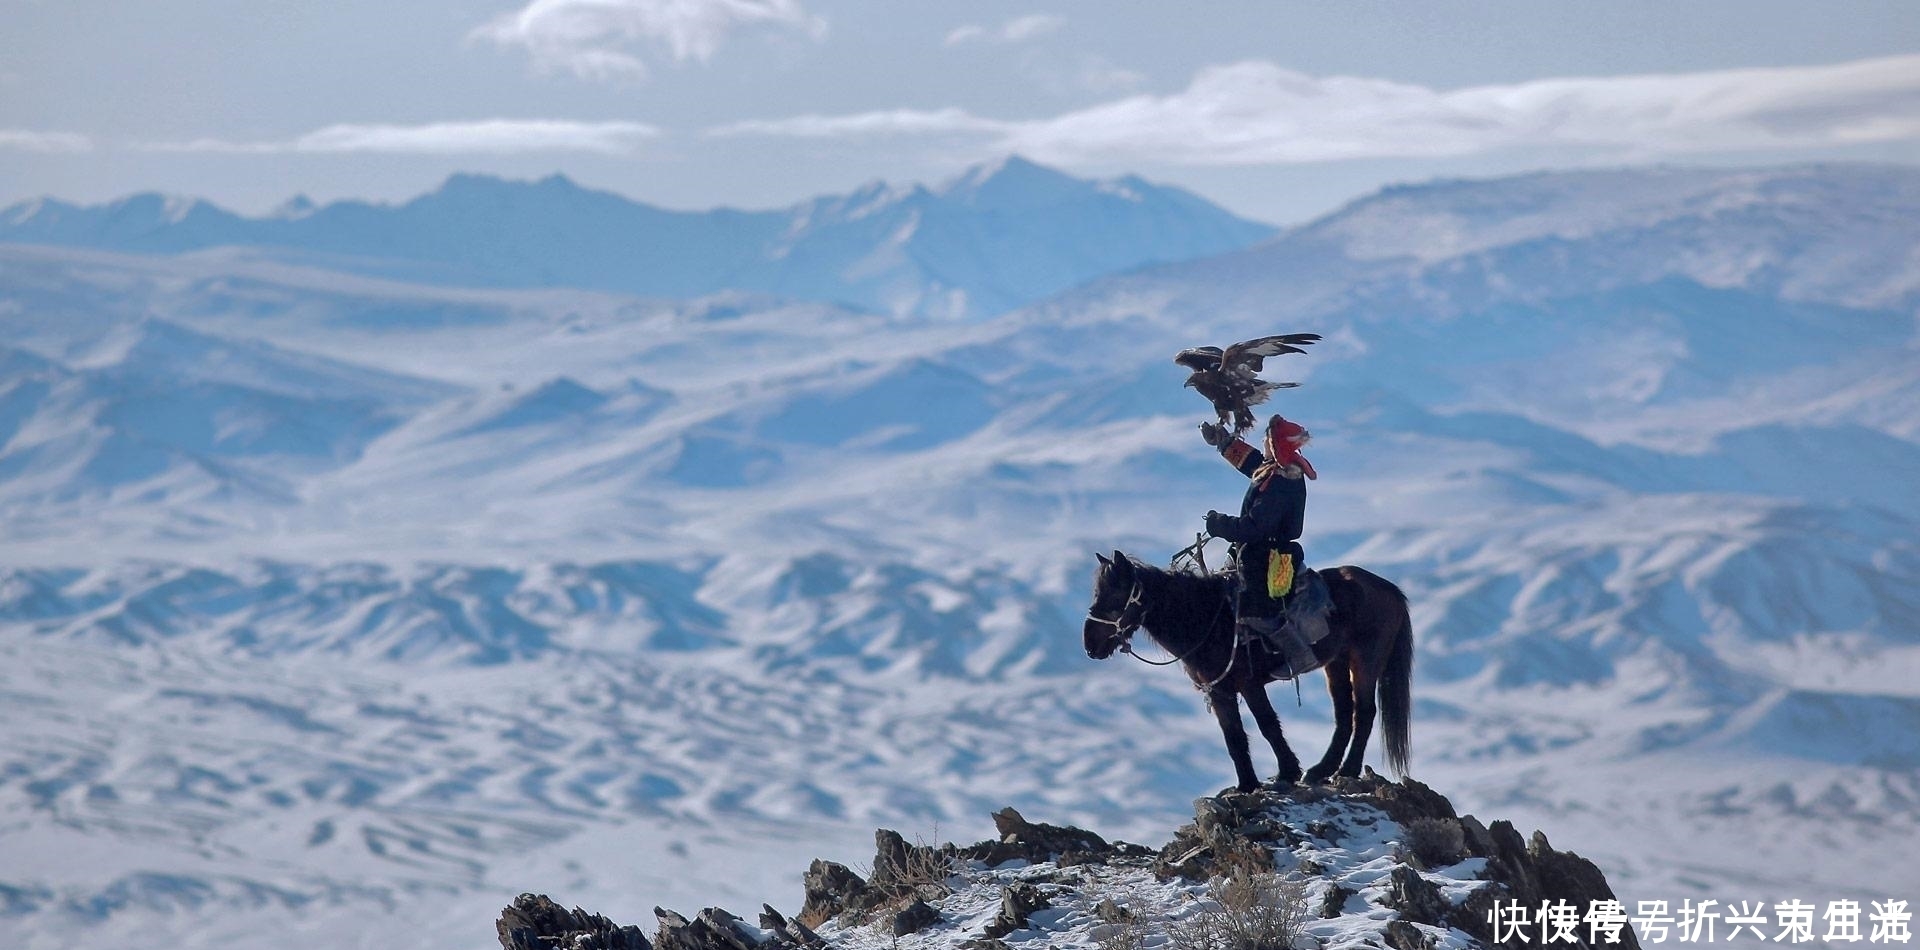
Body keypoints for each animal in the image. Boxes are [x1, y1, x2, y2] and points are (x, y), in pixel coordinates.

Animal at [1082, 548, 1413, 794]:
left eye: (1114, 595)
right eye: (1096, 593)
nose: (1089, 644)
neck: (1206, 618)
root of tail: (1389, 589)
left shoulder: (1249, 684)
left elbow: (1267, 725)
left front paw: (1287, 771)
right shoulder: (1219, 691)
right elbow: (1234, 737)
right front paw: (1247, 785)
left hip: (1366, 660)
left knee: (1364, 712)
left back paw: (1347, 770)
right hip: (1336, 663)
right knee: (1344, 714)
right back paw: (1320, 770)